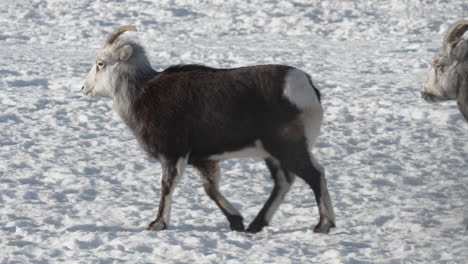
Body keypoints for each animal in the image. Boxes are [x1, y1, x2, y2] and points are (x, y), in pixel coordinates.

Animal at [81, 25, 336, 233]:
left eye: (101, 64)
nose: (84, 88)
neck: (141, 94)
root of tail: (307, 87)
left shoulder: (173, 155)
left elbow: (167, 186)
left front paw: (157, 224)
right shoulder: (202, 160)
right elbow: (210, 190)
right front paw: (236, 222)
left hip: (288, 148)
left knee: (314, 175)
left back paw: (323, 225)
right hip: (274, 154)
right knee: (285, 181)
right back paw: (256, 225)